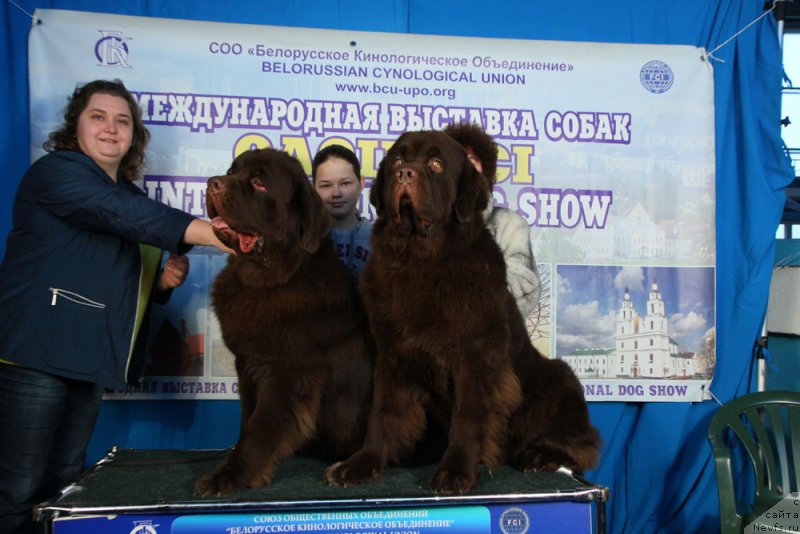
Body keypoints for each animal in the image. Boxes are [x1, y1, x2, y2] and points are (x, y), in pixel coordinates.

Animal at [195, 148, 374, 498]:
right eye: (231, 171)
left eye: (259, 183)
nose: (213, 183)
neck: (267, 281)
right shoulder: (247, 365)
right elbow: (248, 420)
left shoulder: (289, 373)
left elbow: (261, 426)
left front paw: (230, 476)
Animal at [324, 132, 600, 496]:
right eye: (397, 160)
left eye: (436, 164)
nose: (404, 174)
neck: (420, 258)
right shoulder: (392, 352)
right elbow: (384, 412)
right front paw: (361, 464)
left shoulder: (475, 354)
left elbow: (469, 414)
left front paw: (456, 471)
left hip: (560, 379)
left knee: (582, 445)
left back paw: (541, 455)